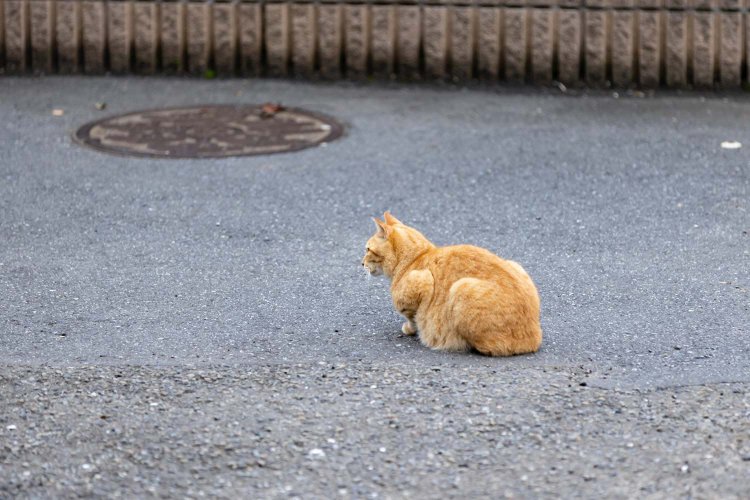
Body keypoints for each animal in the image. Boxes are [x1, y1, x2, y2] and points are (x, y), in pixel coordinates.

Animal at [362, 211, 544, 356]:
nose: (361, 263)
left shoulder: (421, 283)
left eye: (368, 249)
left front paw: (410, 329)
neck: (417, 257)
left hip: (461, 288)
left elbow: (412, 316)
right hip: (515, 264)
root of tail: (534, 337)